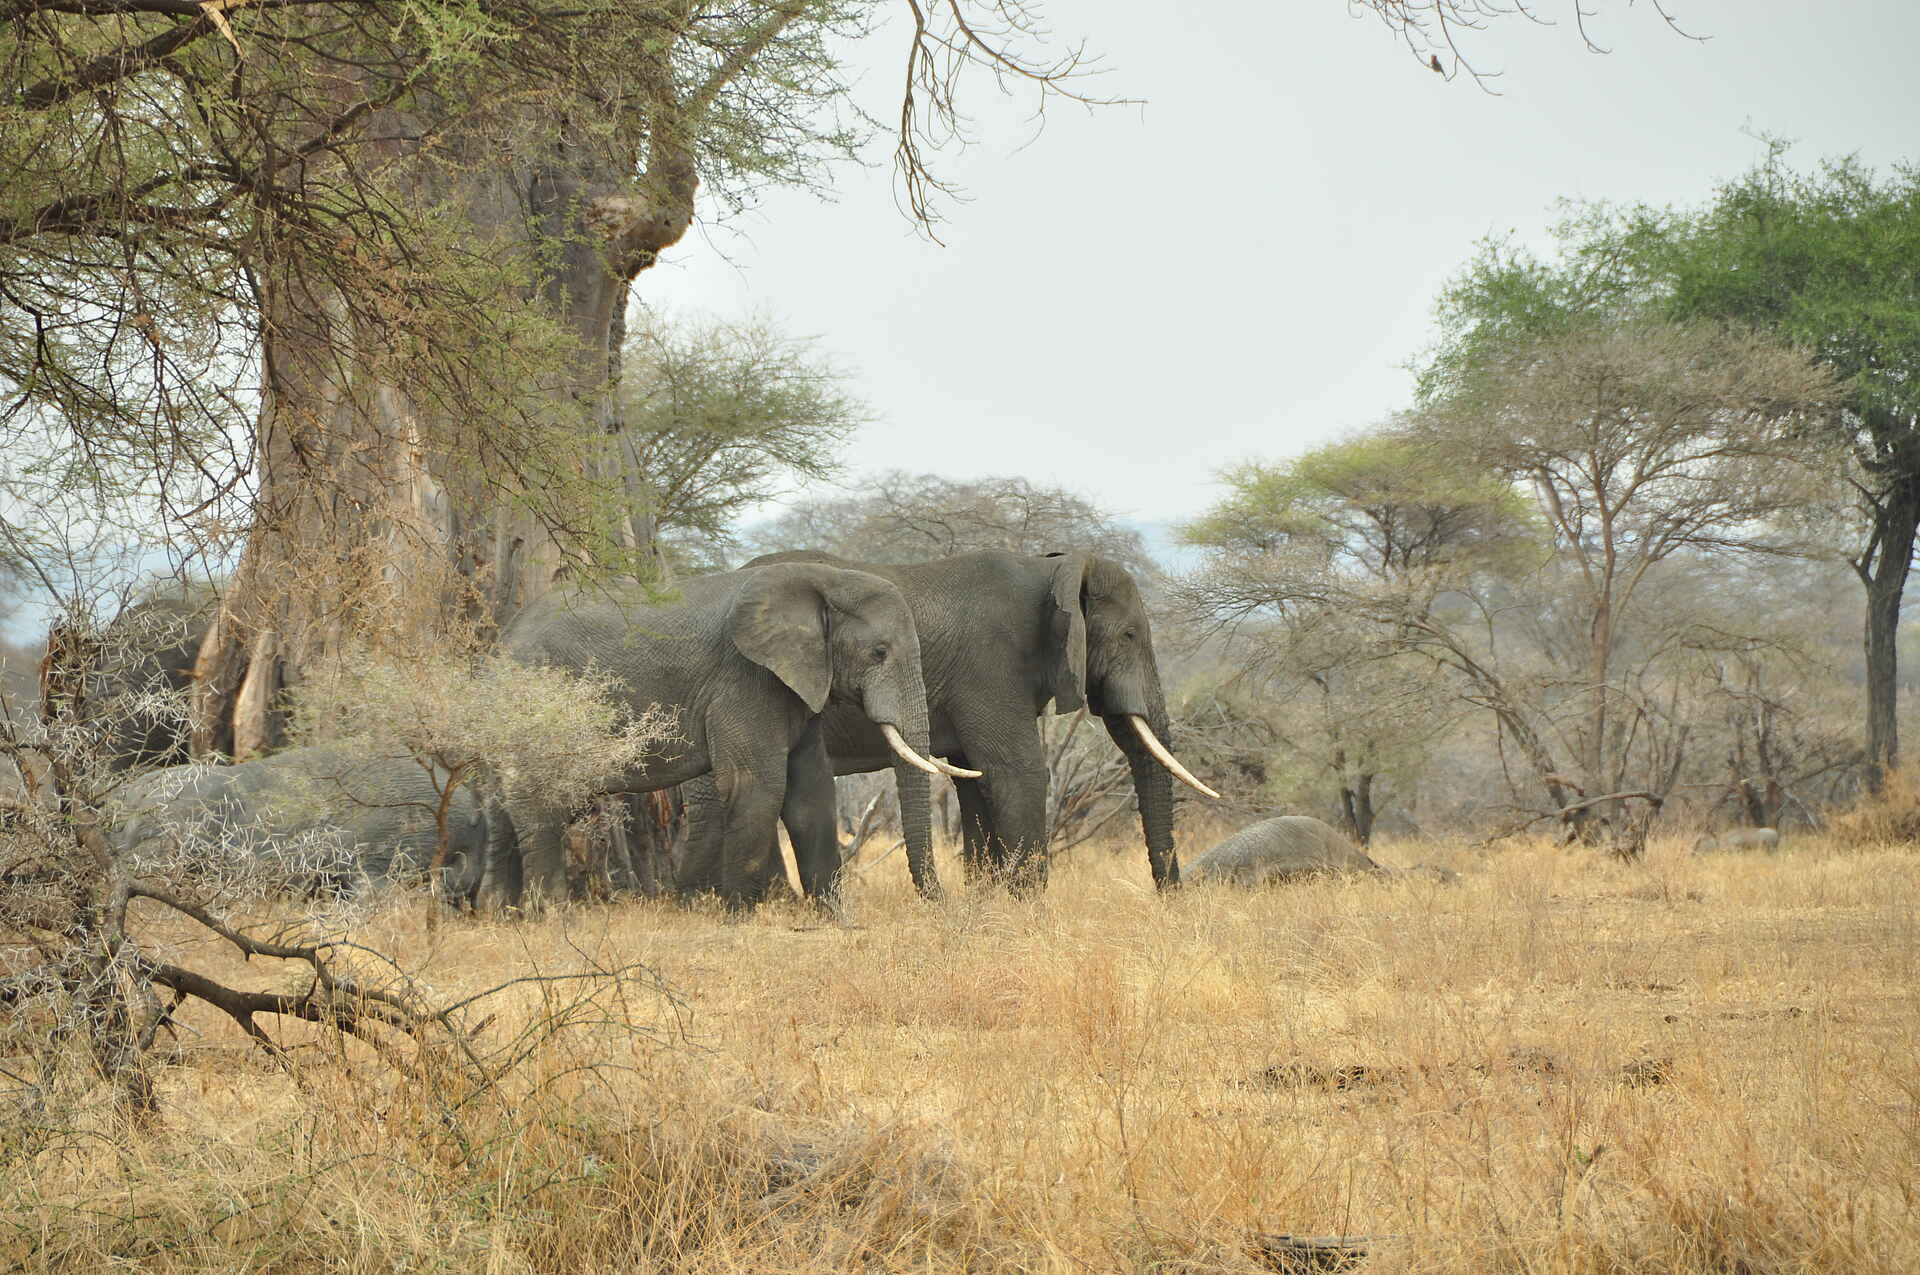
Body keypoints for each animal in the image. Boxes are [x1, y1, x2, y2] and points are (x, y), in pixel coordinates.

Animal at [468, 561, 965, 911]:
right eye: (878, 652)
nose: (939, 906)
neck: (822, 581)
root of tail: (501, 644)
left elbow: (811, 792)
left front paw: (835, 919)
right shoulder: (744, 679)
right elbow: (757, 786)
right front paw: (738, 917)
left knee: (502, 805)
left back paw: (499, 912)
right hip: (535, 699)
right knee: (537, 801)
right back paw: (552, 913)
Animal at [684, 549, 1215, 899]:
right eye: (1129, 636)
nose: (1169, 898)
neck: (1052, 567)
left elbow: (976, 781)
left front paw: (987, 900)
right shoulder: (990, 666)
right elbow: (1017, 770)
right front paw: (1027, 908)